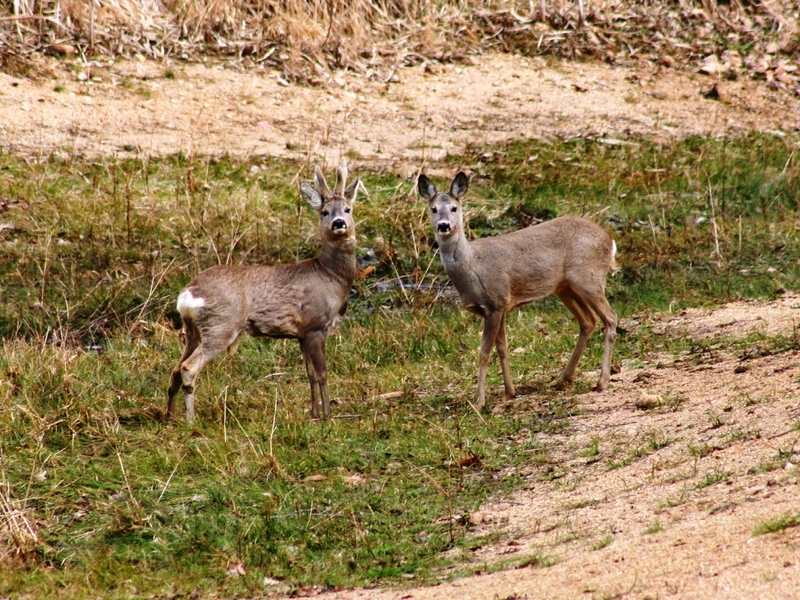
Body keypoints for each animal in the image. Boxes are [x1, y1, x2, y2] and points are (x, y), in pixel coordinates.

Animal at [169, 159, 360, 422]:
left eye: (348, 209)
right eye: (325, 212)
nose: (339, 223)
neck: (330, 276)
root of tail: (188, 294)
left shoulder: (301, 333)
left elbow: (309, 374)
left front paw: (313, 415)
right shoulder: (315, 325)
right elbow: (322, 373)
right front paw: (327, 417)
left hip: (193, 329)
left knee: (176, 367)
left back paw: (168, 417)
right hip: (221, 325)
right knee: (188, 367)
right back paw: (190, 421)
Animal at [418, 171, 620, 410]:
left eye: (454, 208)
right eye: (433, 209)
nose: (443, 225)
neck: (472, 266)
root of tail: (610, 240)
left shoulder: (495, 302)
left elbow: (484, 353)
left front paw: (479, 401)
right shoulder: (500, 307)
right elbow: (502, 348)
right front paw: (509, 392)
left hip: (589, 278)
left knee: (610, 317)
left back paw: (601, 381)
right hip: (565, 288)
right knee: (588, 321)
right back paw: (562, 380)